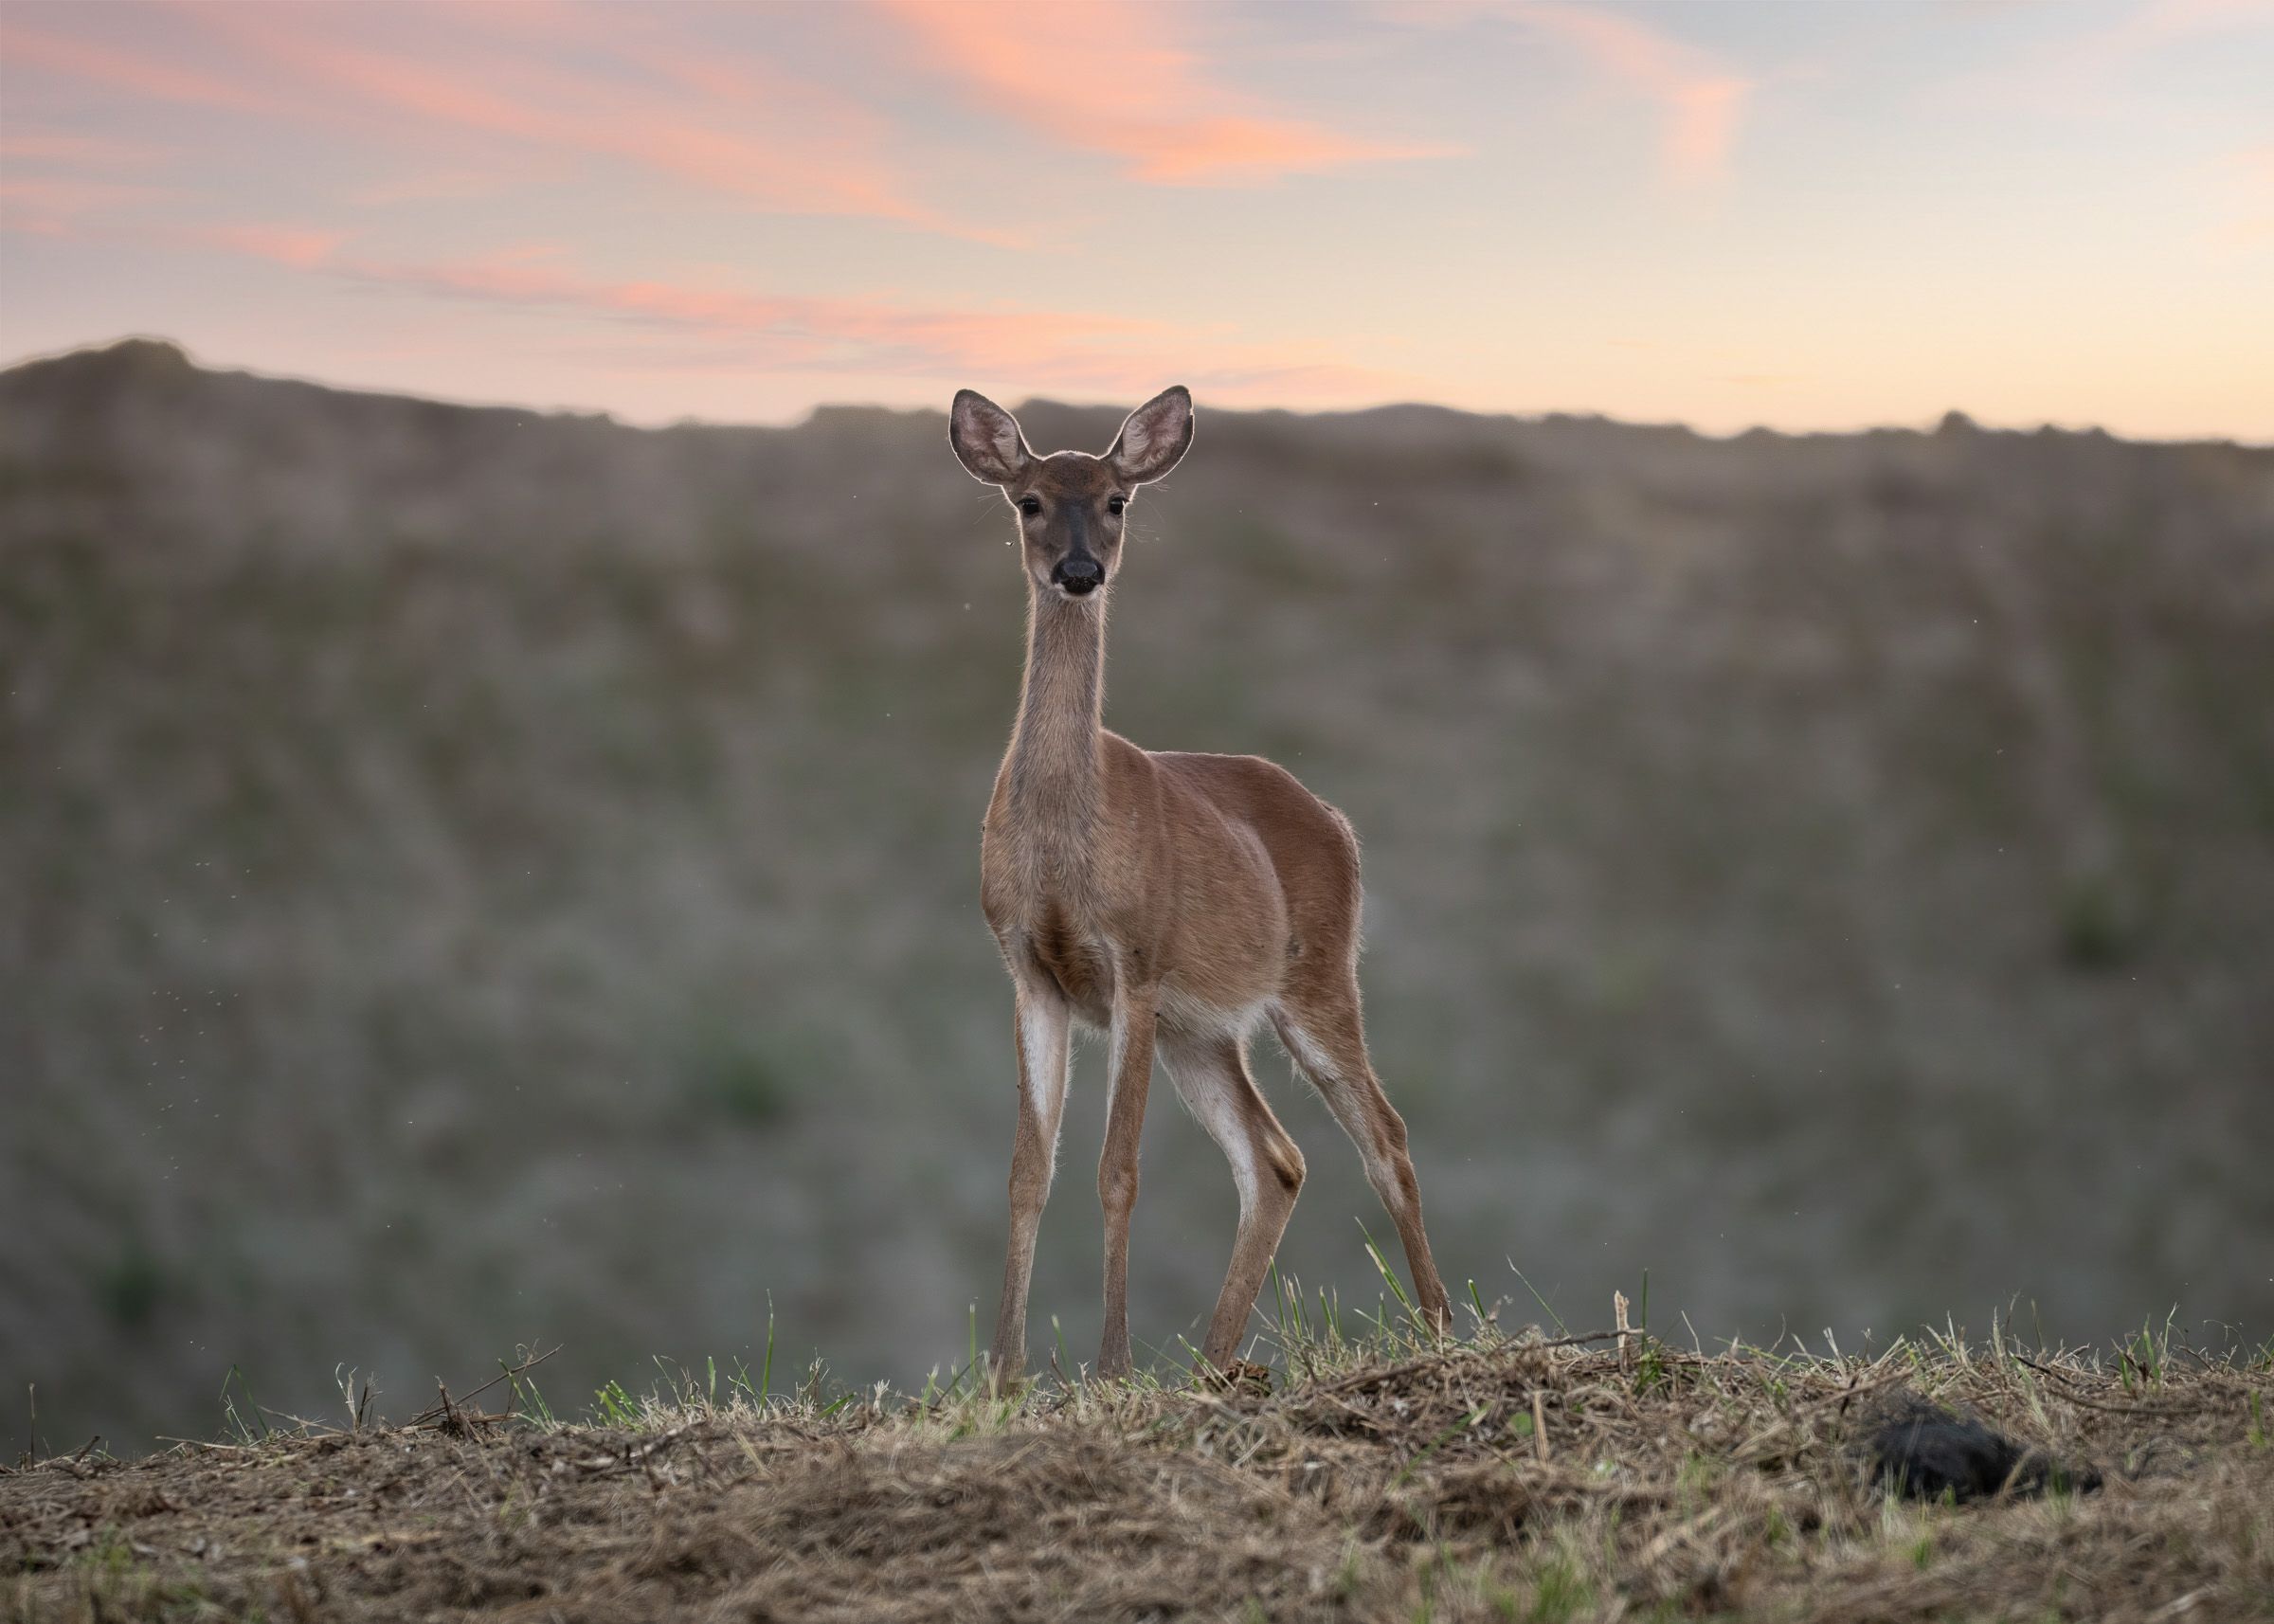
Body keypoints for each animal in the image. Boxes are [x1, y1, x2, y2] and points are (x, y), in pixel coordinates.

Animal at [949, 384, 1454, 1382]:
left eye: (1117, 500)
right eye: (1029, 501)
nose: (1078, 571)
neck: (1066, 840)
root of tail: (1336, 822)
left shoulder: (1135, 966)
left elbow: (1118, 1170)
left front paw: (1109, 1367)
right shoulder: (1030, 971)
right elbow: (1029, 1170)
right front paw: (1004, 1377)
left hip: (1316, 977)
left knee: (1385, 1134)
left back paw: (1444, 1332)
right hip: (1206, 1030)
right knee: (1278, 1158)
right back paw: (1213, 1363)